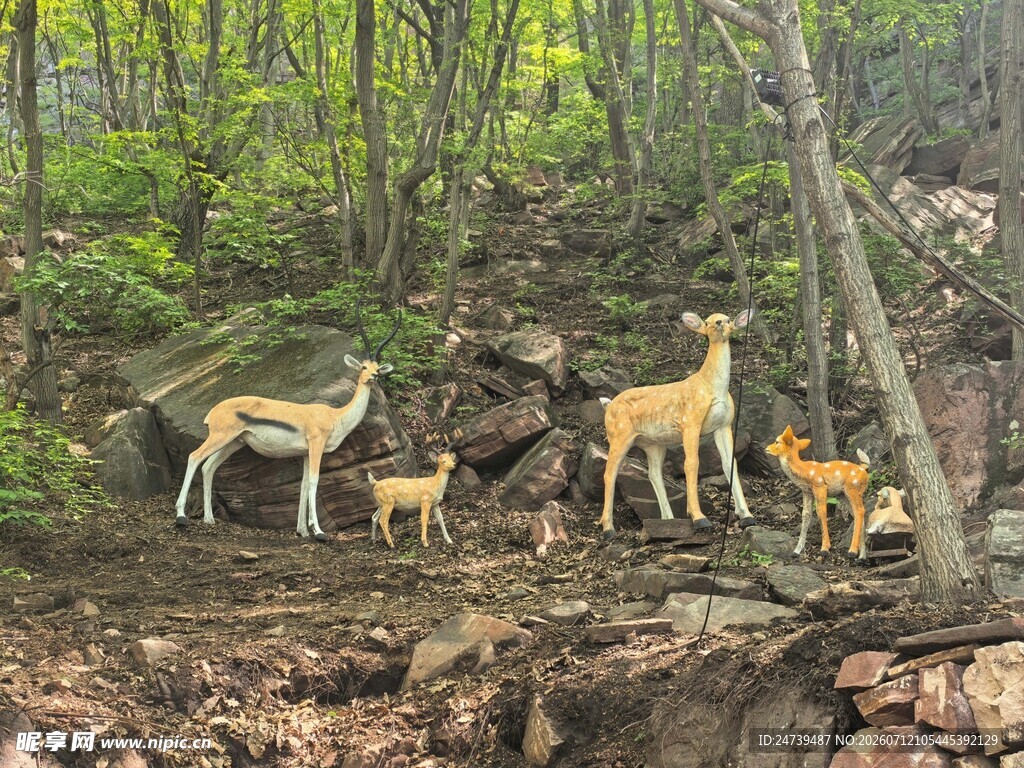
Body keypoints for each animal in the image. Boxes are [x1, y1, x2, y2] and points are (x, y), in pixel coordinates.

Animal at [173, 301, 402, 541]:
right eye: (364, 367)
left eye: (377, 368)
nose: (374, 377)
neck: (335, 416)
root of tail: (214, 410)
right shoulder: (316, 445)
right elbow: (314, 481)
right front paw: (319, 532)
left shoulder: (305, 453)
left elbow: (302, 485)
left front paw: (302, 530)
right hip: (221, 437)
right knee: (194, 457)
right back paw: (181, 517)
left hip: (235, 442)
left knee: (208, 466)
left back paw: (209, 518)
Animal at [599, 310, 757, 539]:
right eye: (707, 321)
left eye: (728, 319)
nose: (719, 323)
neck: (713, 387)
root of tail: (608, 406)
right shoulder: (690, 421)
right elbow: (691, 464)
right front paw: (699, 518)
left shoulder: (724, 425)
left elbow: (730, 464)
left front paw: (747, 515)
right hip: (619, 434)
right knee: (610, 473)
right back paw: (608, 529)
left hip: (653, 443)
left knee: (654, 474)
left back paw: (668, 521)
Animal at [766, 425, 870, 559]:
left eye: (777, 441)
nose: (766, 449)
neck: (804, 471)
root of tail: (864, 470)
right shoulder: (806, 491)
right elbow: (806, 515)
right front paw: (796, 551)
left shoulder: (820, 486)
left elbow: (821, 512)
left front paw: (825, 549)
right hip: (843, 494)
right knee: (859, 513)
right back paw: (861, 556)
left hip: (852, 488)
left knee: (859, 511)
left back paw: (852, 552)